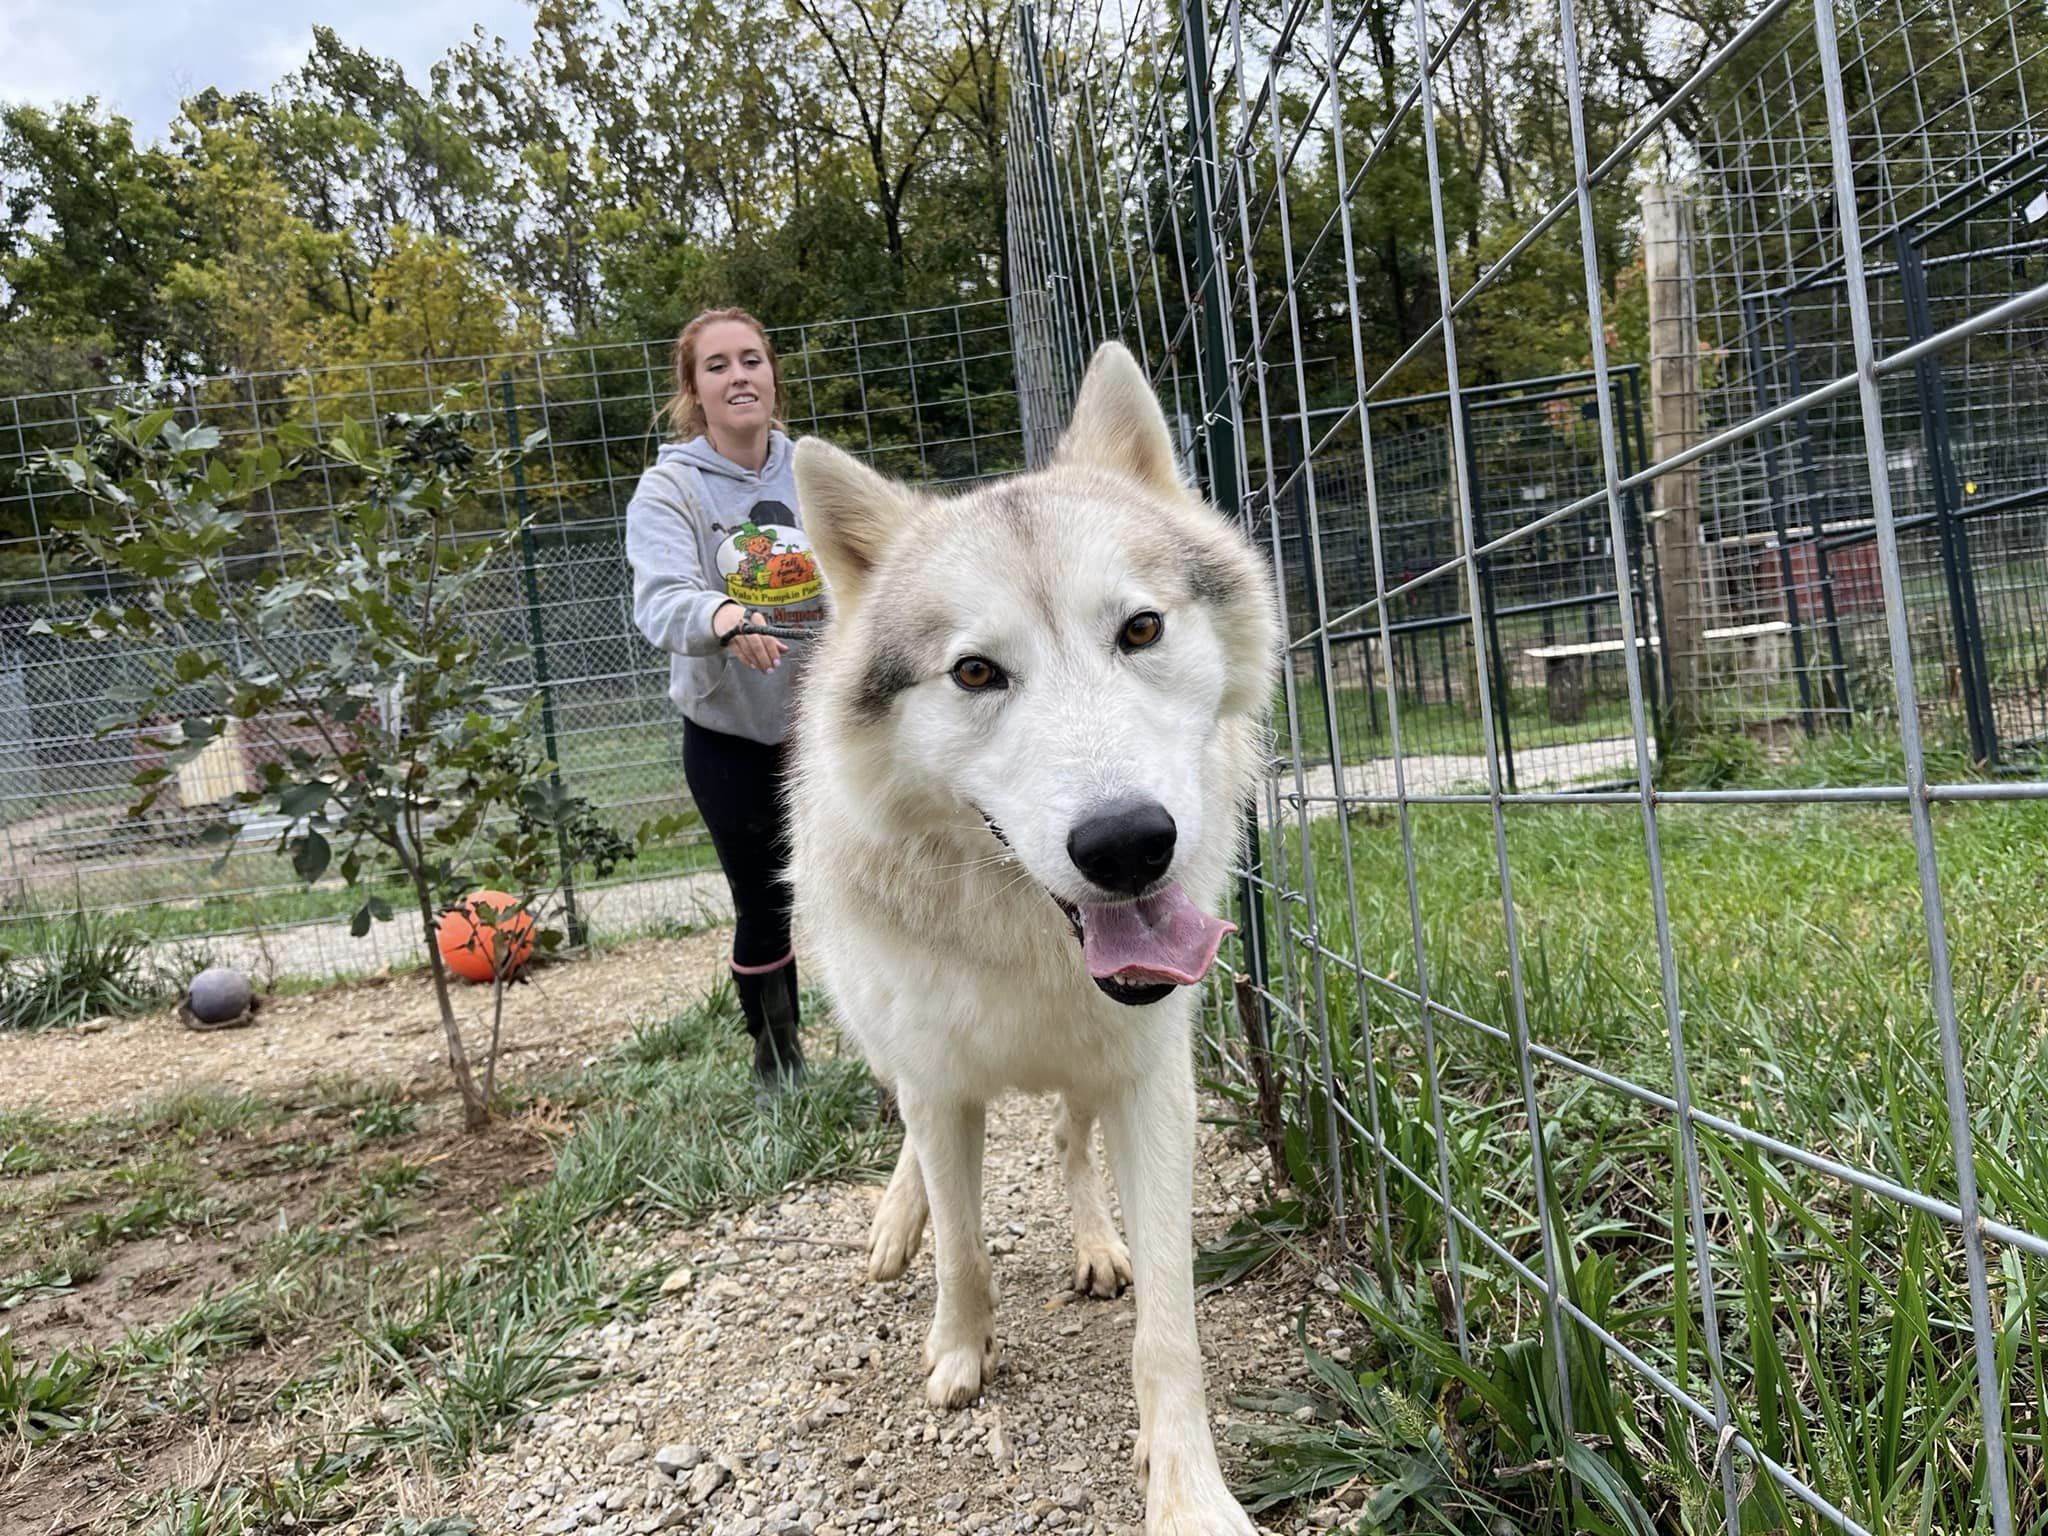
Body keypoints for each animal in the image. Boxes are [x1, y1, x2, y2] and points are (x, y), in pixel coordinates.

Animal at [790, 342, 1269, 1531]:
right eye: (975, 672)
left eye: (1139, 629)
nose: (1129, 843)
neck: (1029, 946)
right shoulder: (938, 1080)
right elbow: (963, 1247)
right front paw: (959, 1358)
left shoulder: (1151, 1080)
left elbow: (1169, 1331)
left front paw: (1187, 1491)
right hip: (885, 1045)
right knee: (921, 1158)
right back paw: (894, 1228)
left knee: (1065, 1143)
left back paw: (1094, 1246)